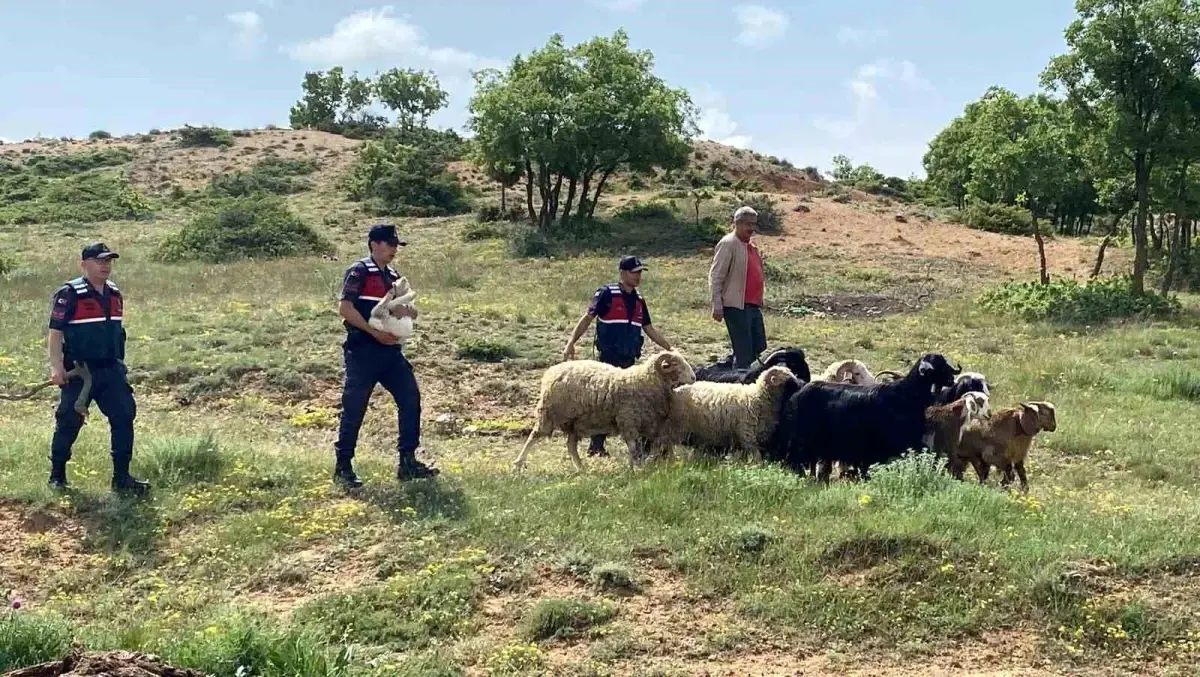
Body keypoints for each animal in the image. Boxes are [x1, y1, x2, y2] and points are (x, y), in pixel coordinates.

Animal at [511, 348, 700, 470]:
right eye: (676, 364)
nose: (693, 378)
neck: (646, 380)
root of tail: (551, 372)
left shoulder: (649, 424)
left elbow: (653, 445)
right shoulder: (628, 421)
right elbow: (633, 447)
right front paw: (635, 468)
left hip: (574, 423)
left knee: (571, 446)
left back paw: (581, 469)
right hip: (550, 413)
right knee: (534, 436)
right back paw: (518, 465)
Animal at [657, 362, 796, 463]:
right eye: (785, 376)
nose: (797, 383)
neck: (757, 396)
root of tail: (675, 391)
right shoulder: (747, 435)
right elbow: (757, 457)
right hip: (674, 428)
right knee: (666, 445)